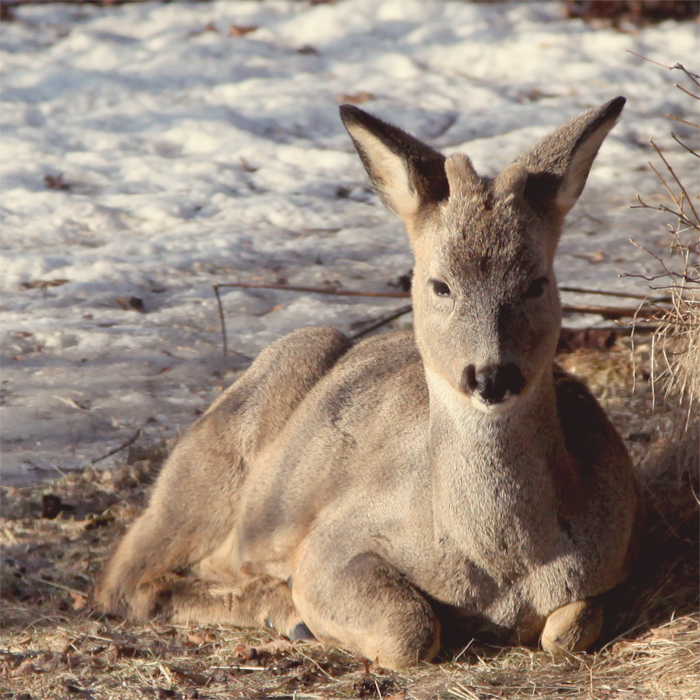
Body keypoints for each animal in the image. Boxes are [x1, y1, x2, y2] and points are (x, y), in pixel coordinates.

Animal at [95, 95, 644, 668]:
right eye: (439, 285)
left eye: (538, 283)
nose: (492, 375)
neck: (501, 568)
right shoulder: (335, 539)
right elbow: (407, 629)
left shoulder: (617, 554)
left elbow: (568, 631)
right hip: (214, 462)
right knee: (124, 579)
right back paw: (281, 611)